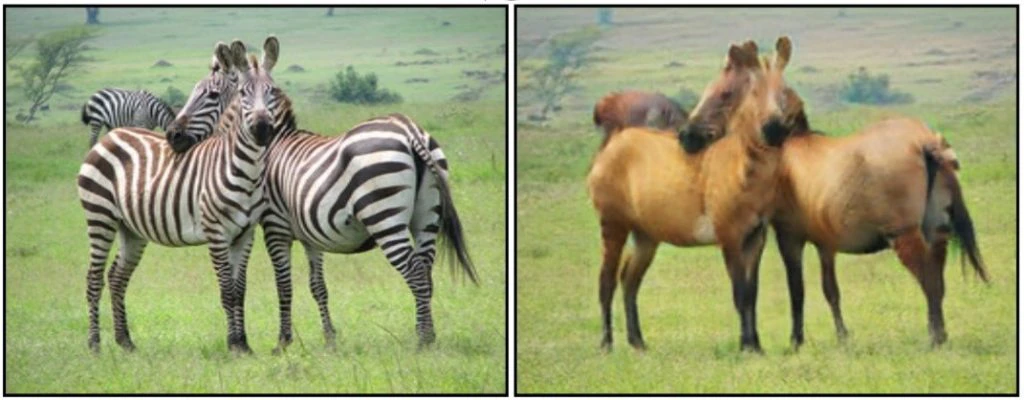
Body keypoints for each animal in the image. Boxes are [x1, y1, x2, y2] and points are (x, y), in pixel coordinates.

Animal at [76, 37, 280, 353]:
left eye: (272, 92)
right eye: (243, 94)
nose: (261, 129)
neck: (245, 169)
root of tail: (111, 136)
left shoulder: (245, 234)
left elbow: (240, 290)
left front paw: (244, 345)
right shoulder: (216, 232)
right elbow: (226, 291)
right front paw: (233, 344)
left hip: (130, 228)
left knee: (117, 276)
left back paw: (125, 342)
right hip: (100, 217)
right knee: (94, 278)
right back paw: (95, 345)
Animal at [587, 37, 799, 352]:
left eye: (784, 92)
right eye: (726, 92)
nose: (774, 130)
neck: (745, 172)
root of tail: (613, 141)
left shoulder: (755, 238)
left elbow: (752, 294)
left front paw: (756, 345)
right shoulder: (728, 236)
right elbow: (739, 294)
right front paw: (746, 346)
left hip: (646, 235)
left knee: (629, 279)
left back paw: (638, 342)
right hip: (613, 224)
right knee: (606, 280)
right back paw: (606, 344)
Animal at [678, 61, 988, 348]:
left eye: (724, 93)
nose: (686, 136)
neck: (786, 151)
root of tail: (925, 143)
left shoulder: (789, 236)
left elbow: (797, 289)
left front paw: (796, 341)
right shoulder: (824, 241)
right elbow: (831, 290)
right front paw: (842, 337)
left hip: (904, 235)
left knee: (929, 282)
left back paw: (935, 339)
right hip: (938, 232)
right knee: (938, 281)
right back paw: (941, 336)